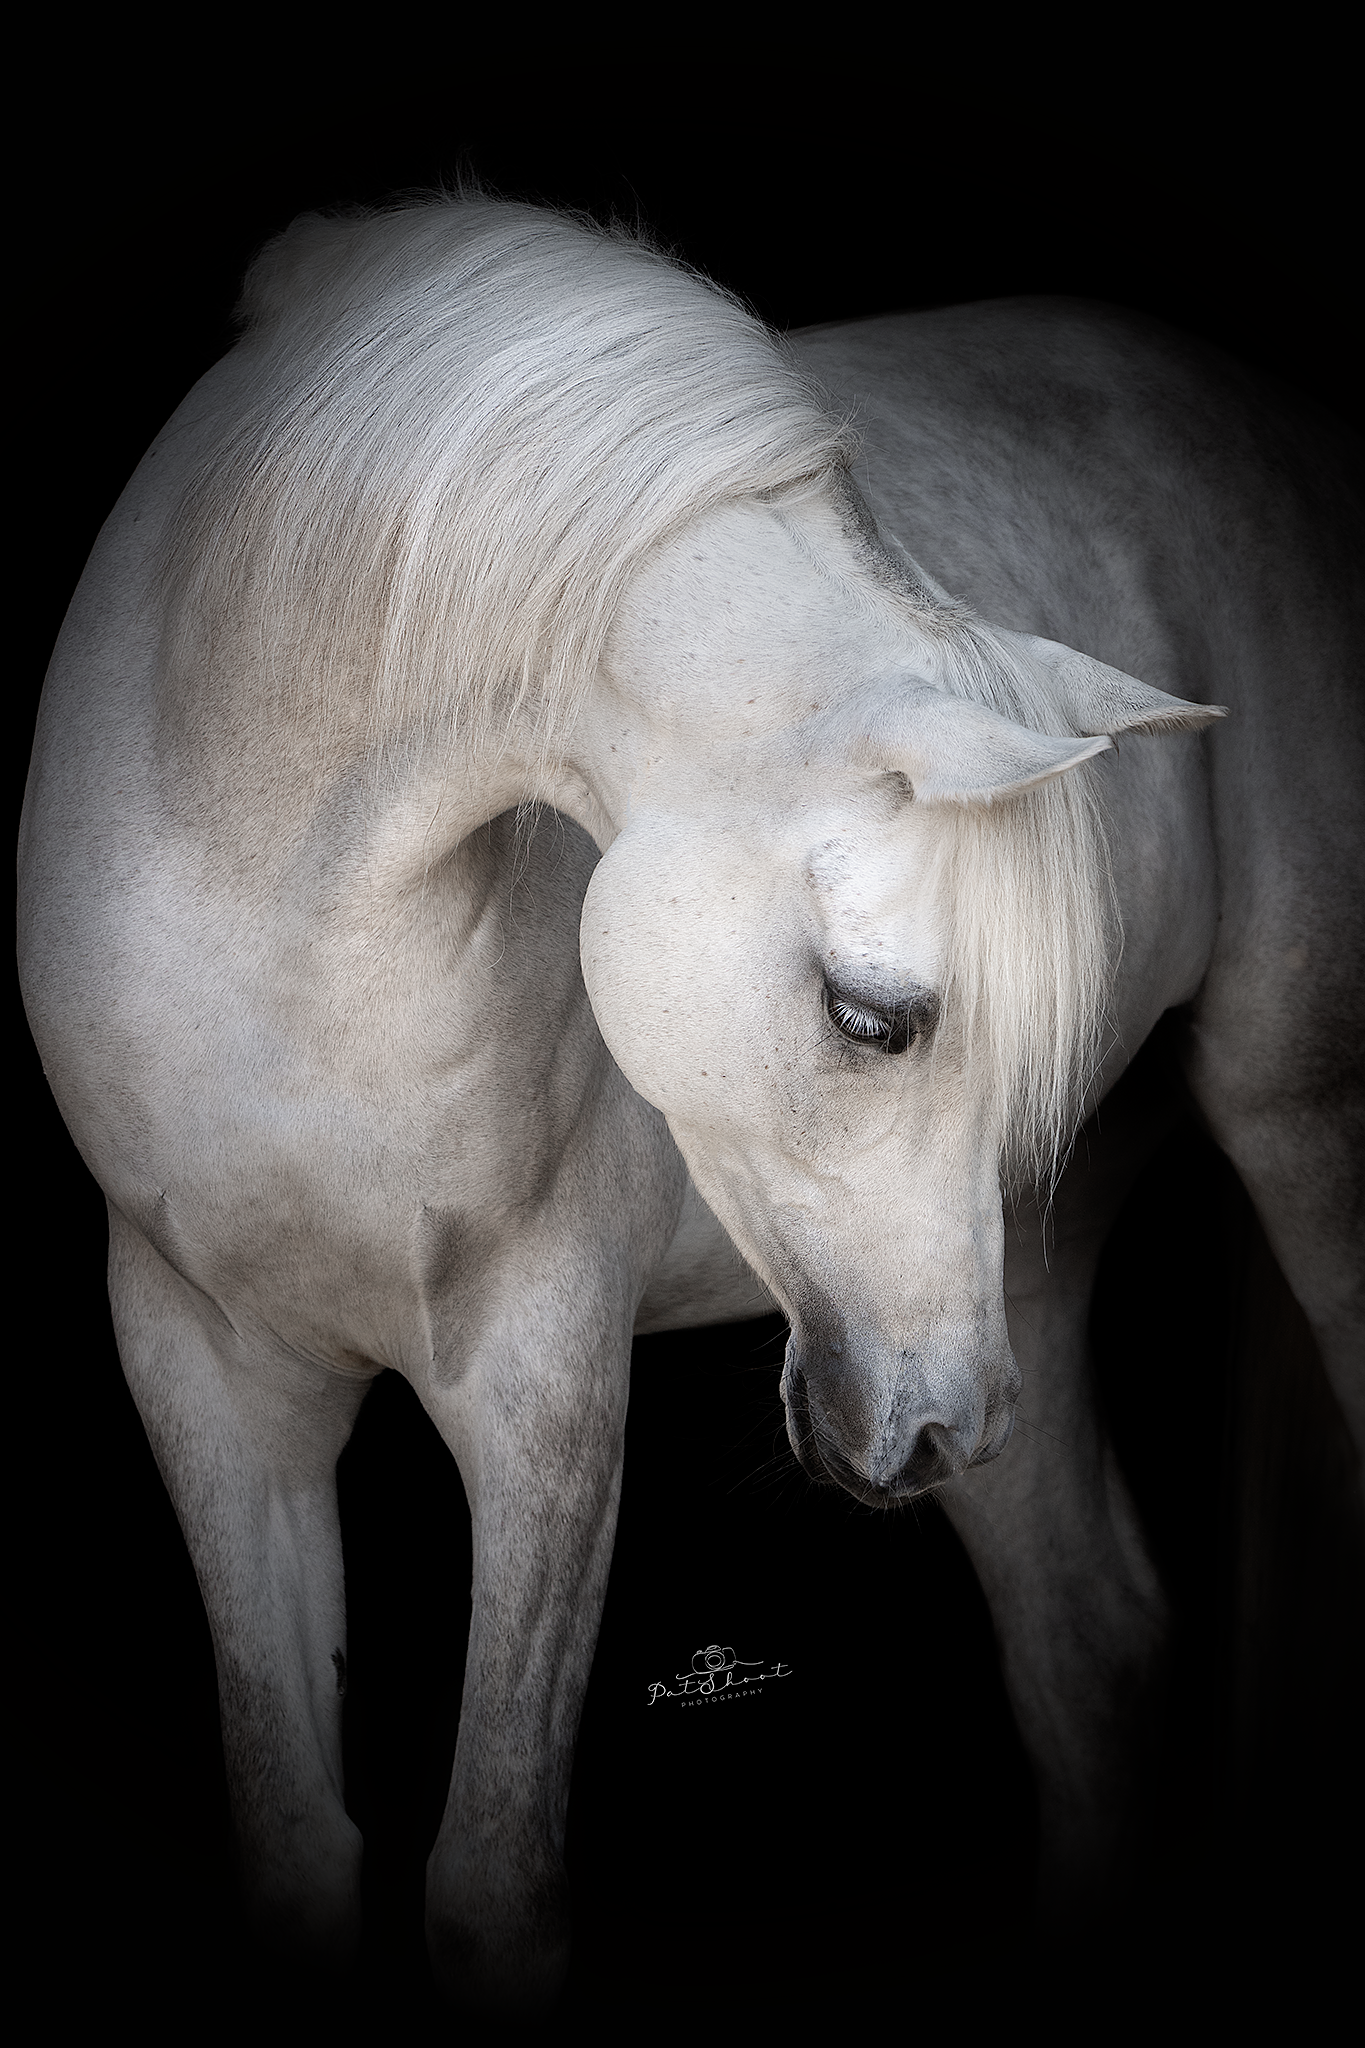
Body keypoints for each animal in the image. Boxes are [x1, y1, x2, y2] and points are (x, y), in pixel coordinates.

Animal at [18, 193, 1363, 2019]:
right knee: (1091, 1650)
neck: (261, 885)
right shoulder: (206, 1370)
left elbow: (492, 1878)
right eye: (875, 1018)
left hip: (1281, 1142)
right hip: (1019, 1282)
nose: (930, 1425)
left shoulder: (543, 1380)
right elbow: (299, 1840)